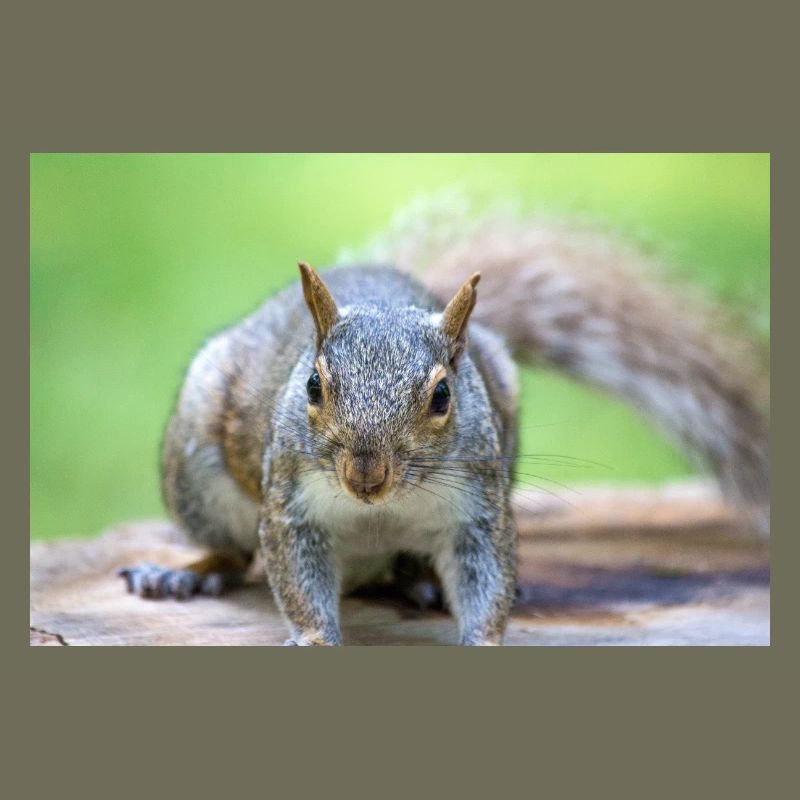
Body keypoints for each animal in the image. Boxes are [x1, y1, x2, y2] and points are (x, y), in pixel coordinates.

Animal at [118, 198, 770, 646]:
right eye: (312, 386)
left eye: (441, 396)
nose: (366, 476)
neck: (379, 511)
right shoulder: (290, 502)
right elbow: (295, 577)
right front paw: (314, 638)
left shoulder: (478, 510)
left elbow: (485, 576)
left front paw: (483, 635)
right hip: (198, 474)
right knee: (231, 552)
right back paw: (183, 575)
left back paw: (420, 580)